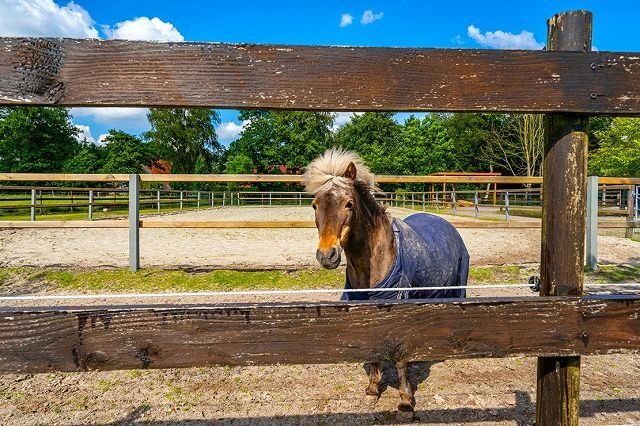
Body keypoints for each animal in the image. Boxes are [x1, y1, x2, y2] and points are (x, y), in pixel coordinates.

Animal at [302, 149, 468, 412]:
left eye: (349, 204)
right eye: (314, 205)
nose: (327, 255)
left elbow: (400, 358)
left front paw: (405, 400)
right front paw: (372, 390)